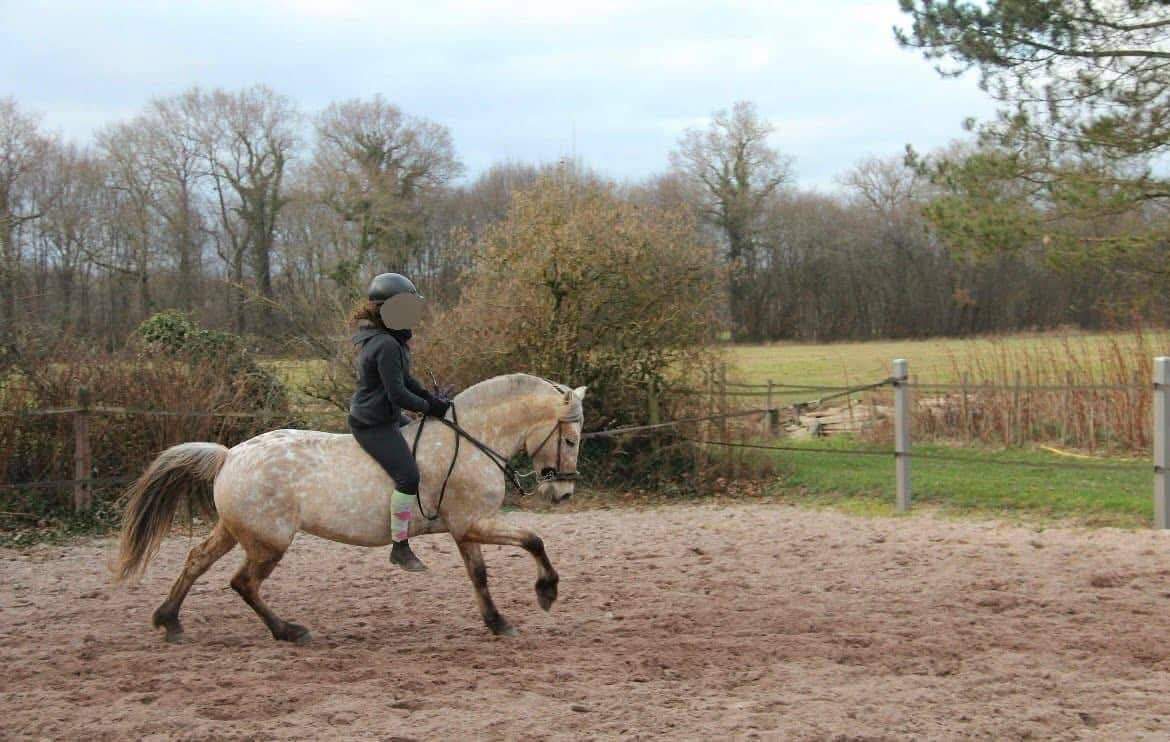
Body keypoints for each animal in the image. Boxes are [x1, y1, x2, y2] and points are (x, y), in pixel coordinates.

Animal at [114, 373, 586, 642]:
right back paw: (289, 631)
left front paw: (497, 623)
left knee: (197, 562)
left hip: (237, 531)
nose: (562, 494)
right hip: (269, 542)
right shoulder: (474, 522)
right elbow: (533, 540)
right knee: (242, 583)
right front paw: (546, 592)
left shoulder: (465, 529)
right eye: (569, 439)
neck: (471, 439)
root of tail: (230, 455)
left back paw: (169, 621)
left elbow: (480, 575)